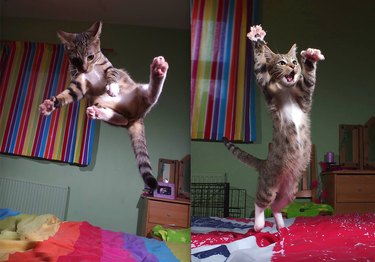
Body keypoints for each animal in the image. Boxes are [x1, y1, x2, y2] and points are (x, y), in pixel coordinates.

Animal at [38, 21, 169, 190]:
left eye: (91, 56)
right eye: (75, 60)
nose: (84, 68)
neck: (91, 70)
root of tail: (136, 117)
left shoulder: (110, 67)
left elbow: (111, 74)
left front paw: (112, 87)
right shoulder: (78, 85)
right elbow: (66, 95)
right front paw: (50, 105)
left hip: (139, 92)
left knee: (151, 96)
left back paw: (158, 70)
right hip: (98, 102)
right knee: (122, 119)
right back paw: (98, 113)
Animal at [223, 25, 326, 231]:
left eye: (294, 61)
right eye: (281, 62)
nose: (293, 67)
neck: (286, 90)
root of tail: (264, 163)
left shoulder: (304, 99)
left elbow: (309, 80)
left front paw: (311, 58)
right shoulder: (266, 89)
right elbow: (259, 69)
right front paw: (257, 38)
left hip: (290, 191)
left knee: (278, 206)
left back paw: (280, 225)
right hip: (269, 185)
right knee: (261, 202)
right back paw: (258, 224)